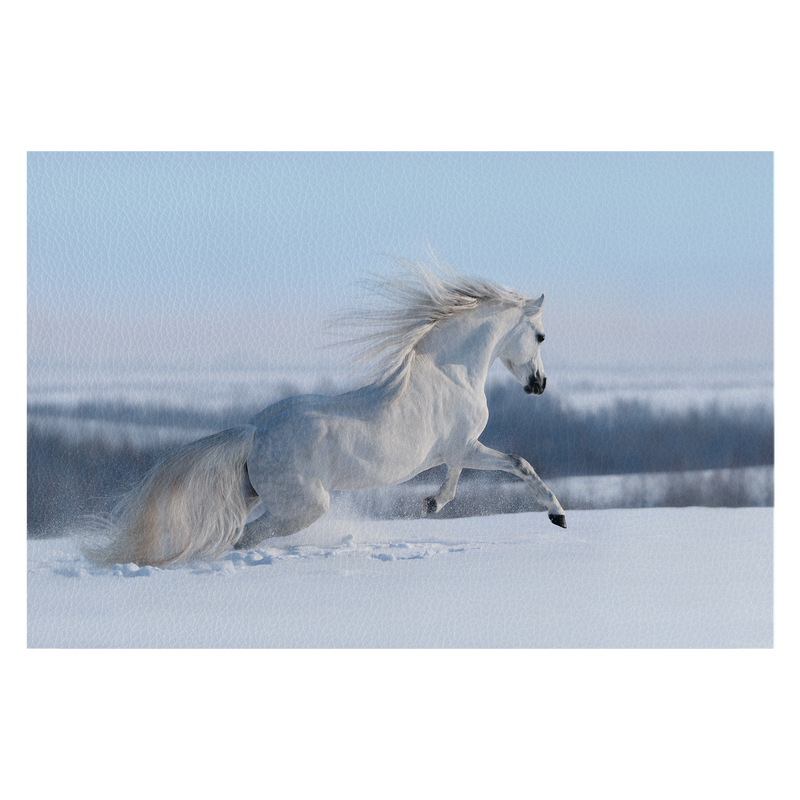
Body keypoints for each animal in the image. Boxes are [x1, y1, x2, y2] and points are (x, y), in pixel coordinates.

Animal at [81, 258, 568, 568]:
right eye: (541, 336)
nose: (539, 384)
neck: (451, 372)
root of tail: (255, 432)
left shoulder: (457, 451)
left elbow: (479, 472)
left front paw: (432, 503)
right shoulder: (463, 446)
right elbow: (516, 464)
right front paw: (557, 514)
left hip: (256, 495)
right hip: (304, 507)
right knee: (244, 538)